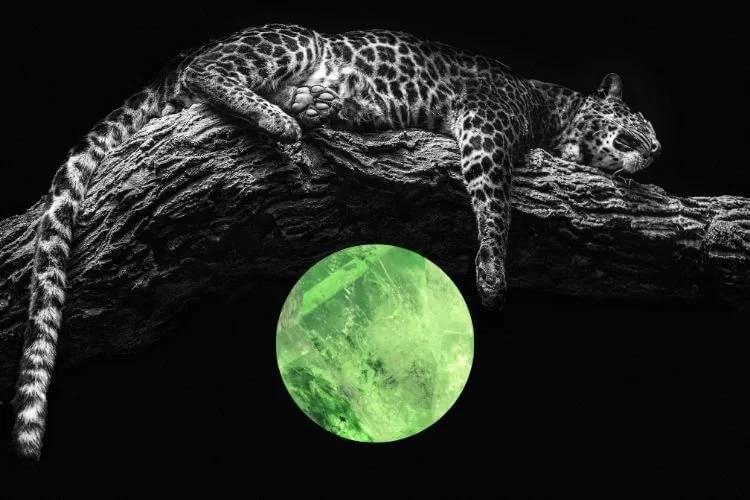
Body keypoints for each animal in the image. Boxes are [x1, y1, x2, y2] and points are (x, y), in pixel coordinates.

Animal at [11, 23, 661, 461]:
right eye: (643, 128)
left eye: (655, 142)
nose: (655, 153)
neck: (559, 112)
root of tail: (177, 59)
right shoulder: (486, 123)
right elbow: (493, 198)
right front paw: (493, 273)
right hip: (292, 40)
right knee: (212, 74)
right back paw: (284, 115)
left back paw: (315, 103)